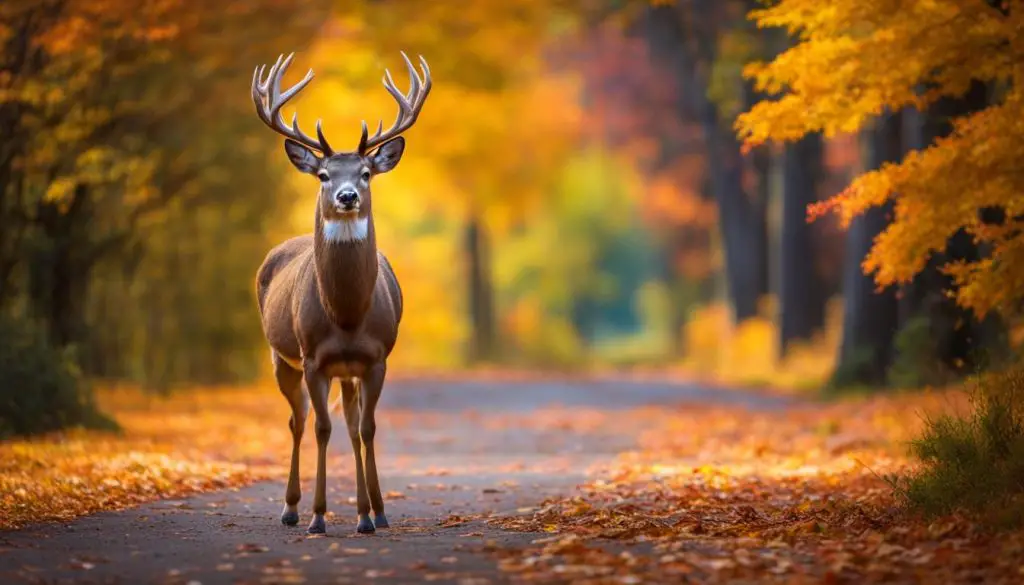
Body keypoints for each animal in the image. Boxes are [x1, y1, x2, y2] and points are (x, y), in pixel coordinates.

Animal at [256, 52, 432, 532]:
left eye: (367, 172)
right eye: (322, 174)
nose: (348, 195)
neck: (348, 315)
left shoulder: (377, 357)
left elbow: (367, 429)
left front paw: (375, 512)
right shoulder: (313, 357)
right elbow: (321, 429)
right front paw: (317, 516)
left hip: (348, 371)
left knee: (352, 424)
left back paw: (368, 512)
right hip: (282, 356)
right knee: (298, 420)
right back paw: (290, 509)